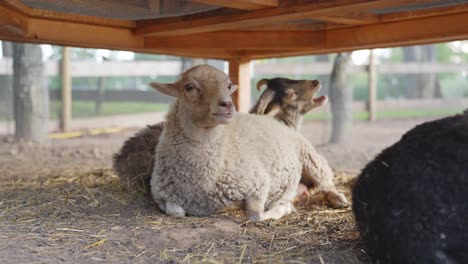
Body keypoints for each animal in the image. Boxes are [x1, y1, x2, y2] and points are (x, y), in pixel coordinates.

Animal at [150, 64, 348, 221]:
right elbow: (176, 212)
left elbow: (257, 216)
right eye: (189, 87)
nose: (228, 105)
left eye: (229, 86)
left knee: (327, 182)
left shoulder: (259, 184)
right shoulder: (162, 195)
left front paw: (283, 207)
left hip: (312, 159)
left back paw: (337, 199)